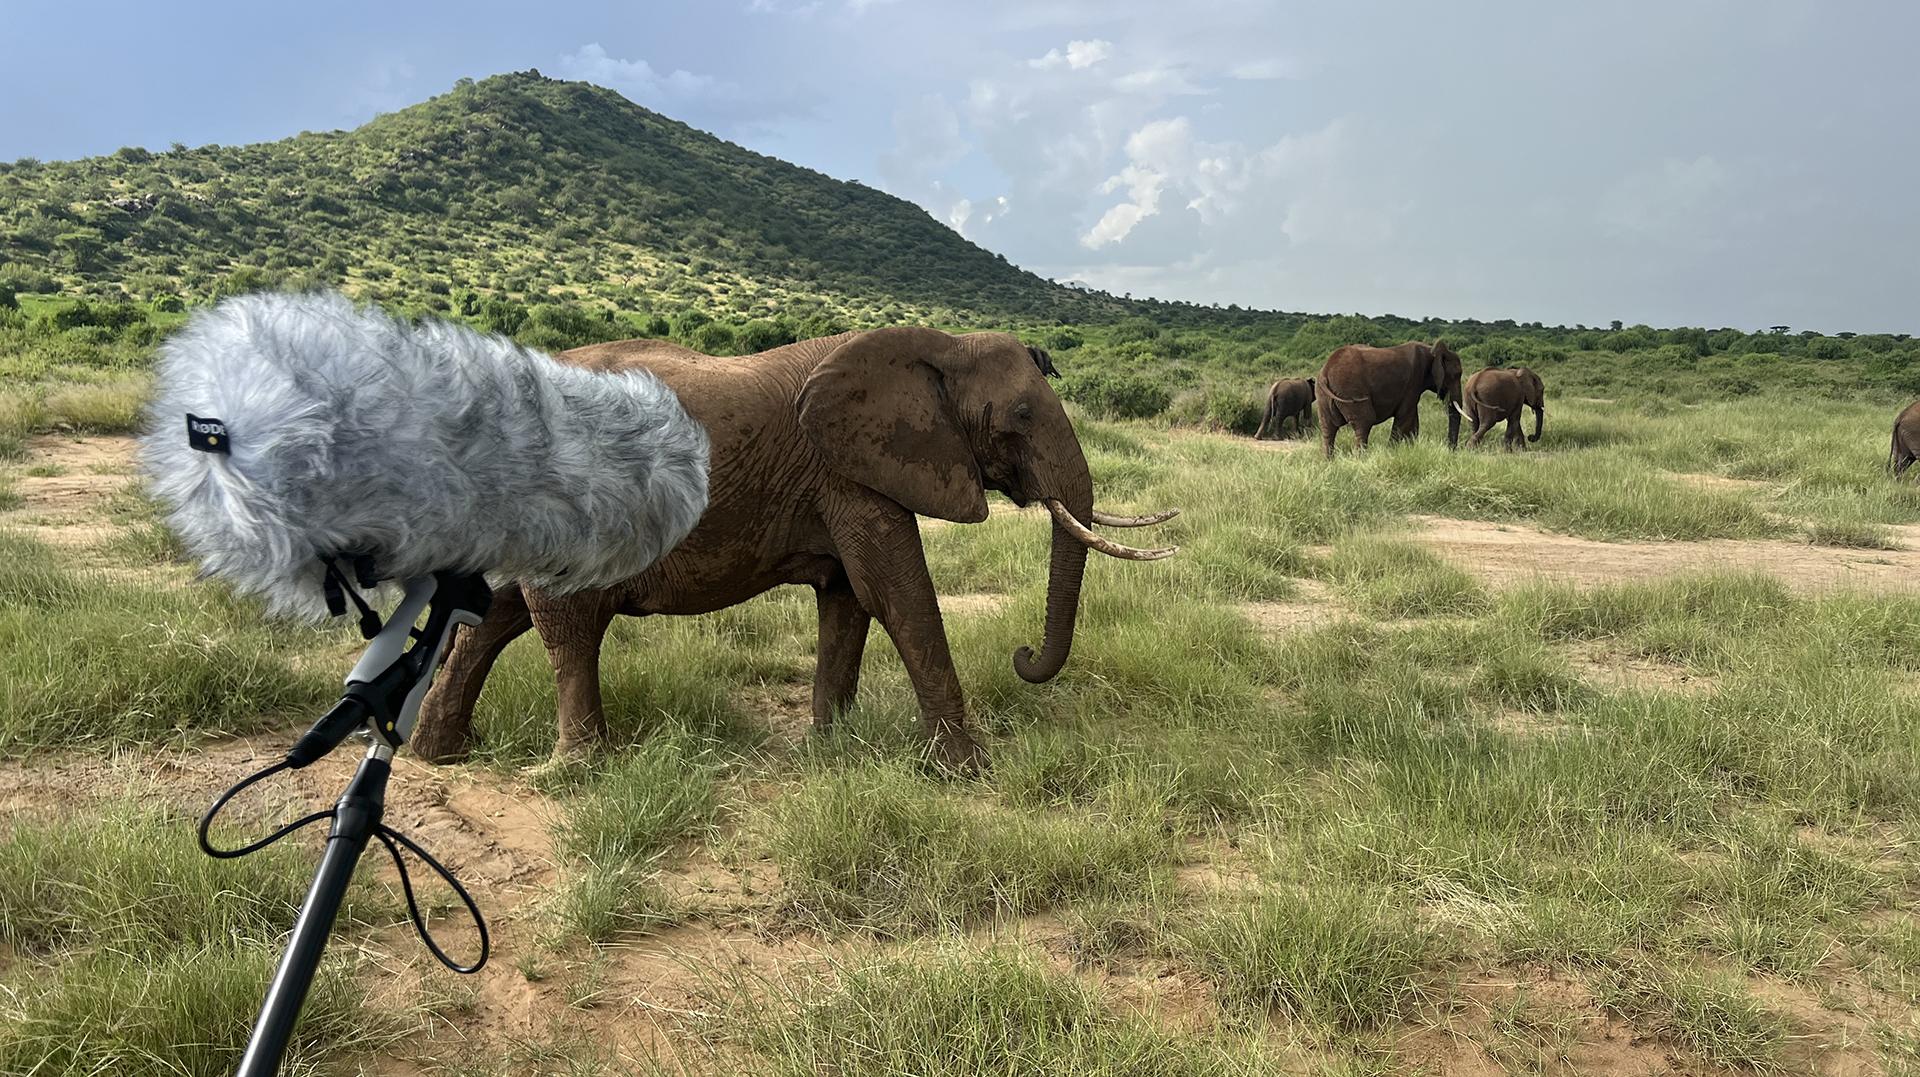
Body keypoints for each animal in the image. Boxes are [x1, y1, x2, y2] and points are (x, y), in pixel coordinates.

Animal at [412, 322, 1175, 767]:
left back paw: (441, 754)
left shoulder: (848, 473)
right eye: (1019, 416)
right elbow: (897, 594)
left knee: (496, 615)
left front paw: (830, 752)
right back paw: (582, 771)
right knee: (564, 624)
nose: (1022, 655)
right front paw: (964, 768)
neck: (938, 344)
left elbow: (850, 599)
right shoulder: (849, 470)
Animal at [1313, 337, 1459, 451]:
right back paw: (1361, 459)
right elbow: (1403, 418)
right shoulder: (1413, 382)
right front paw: (1391, 452)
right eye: (1456, 375)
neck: (1431, 350)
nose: (1451, 450)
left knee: (1328, 428)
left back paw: (1328, 461)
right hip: (1350, 389)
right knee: (1364, 422)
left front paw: (1411, 449)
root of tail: (1326, 371)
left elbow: (1412, 421)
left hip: (1323, 395)